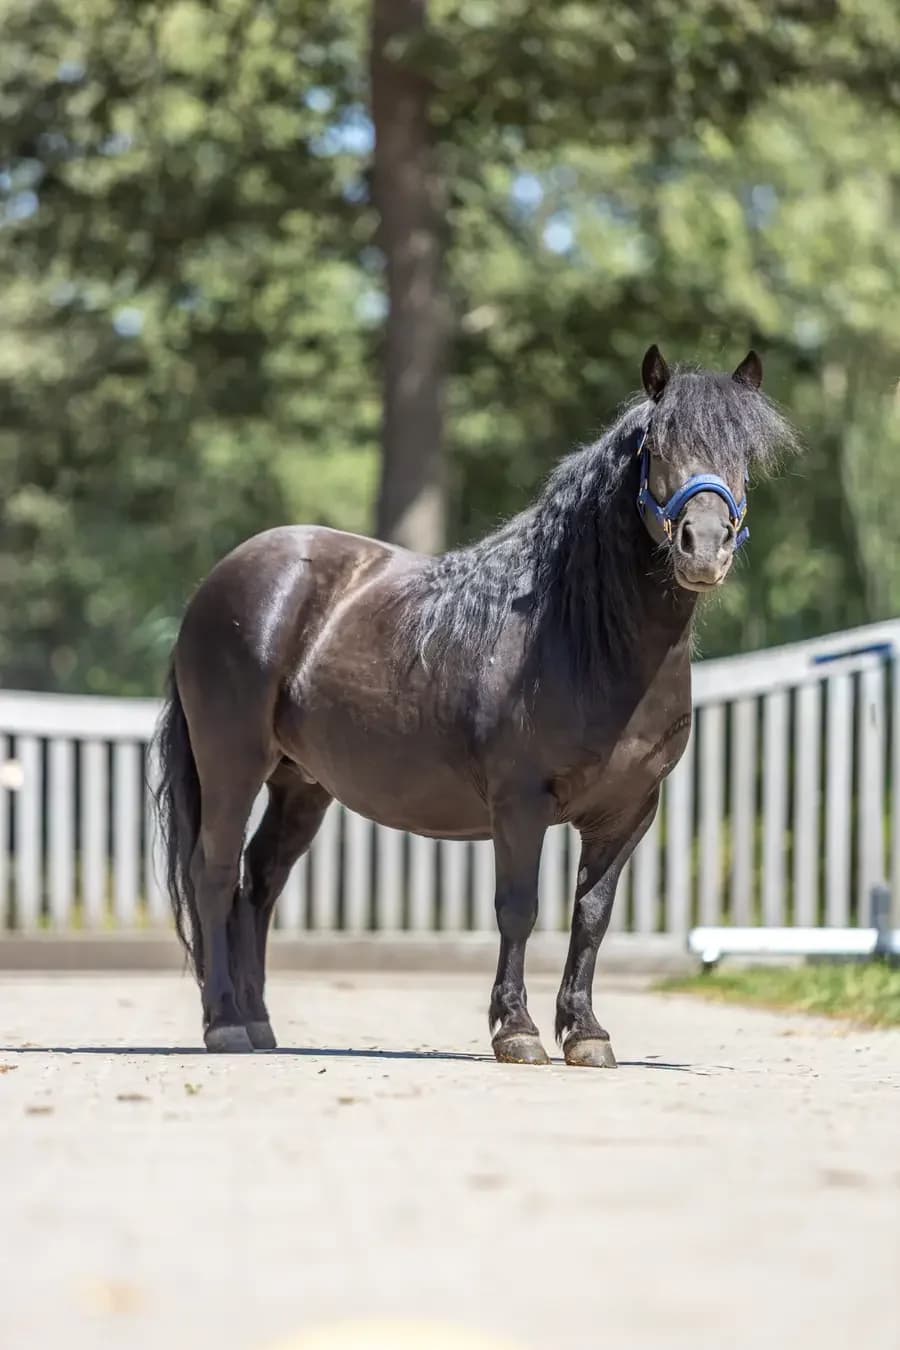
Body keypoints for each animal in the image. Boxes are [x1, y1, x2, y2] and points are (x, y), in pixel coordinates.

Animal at [155, 344, 797, 1063]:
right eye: (655, 447)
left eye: (744, 452)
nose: (704, 546)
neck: (580, 637)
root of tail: (223, 578)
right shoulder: (519, 803)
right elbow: (518, 908)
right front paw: (516, 1030)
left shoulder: (628, 812)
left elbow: (592, 916)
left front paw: (586, 1032)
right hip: (231, 762)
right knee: (214, 873)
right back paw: (225, 1023)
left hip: (300, 783)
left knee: (259, 885)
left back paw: (259, 1024)